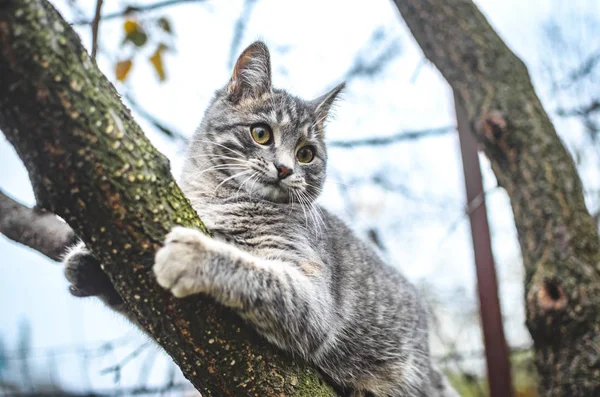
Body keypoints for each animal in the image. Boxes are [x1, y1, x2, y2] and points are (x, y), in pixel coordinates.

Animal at [63, 41, 460, 394]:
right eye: (261, 133)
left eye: (306, 154)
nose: (285, 169)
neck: (216, 196)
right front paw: (86, 263)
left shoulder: (312, 300)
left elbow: (260, 275)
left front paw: (195, 254)